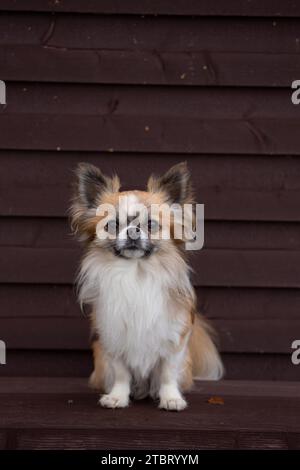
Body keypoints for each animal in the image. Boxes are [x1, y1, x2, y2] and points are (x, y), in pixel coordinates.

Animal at [70, 162, 223, 412]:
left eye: (151, 224)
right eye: (113, 225)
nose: (133, 231)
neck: (137, 273)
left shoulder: (173, 339)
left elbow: (168, 373)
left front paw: (171, 398)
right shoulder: (113, 337)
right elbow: (121, 373)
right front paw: (118, 397)